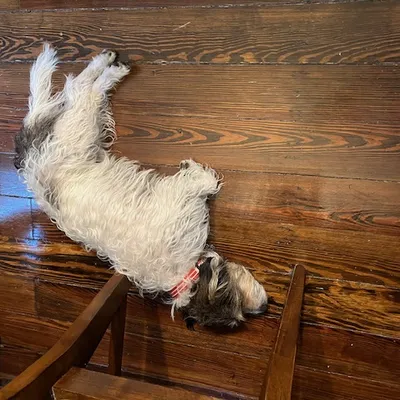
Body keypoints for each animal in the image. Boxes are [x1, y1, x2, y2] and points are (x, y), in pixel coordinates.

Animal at [15, 45, 268, 328]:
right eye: (236, 300)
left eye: (236, 321)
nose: (265, 307)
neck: (184, 274)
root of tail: (30, 160)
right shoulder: (182, 195)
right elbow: (207, 182)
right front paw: (192, 167)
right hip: (79, 129)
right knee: (81, 89)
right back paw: (111, 68)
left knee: (73, 90)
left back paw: (106, 63)